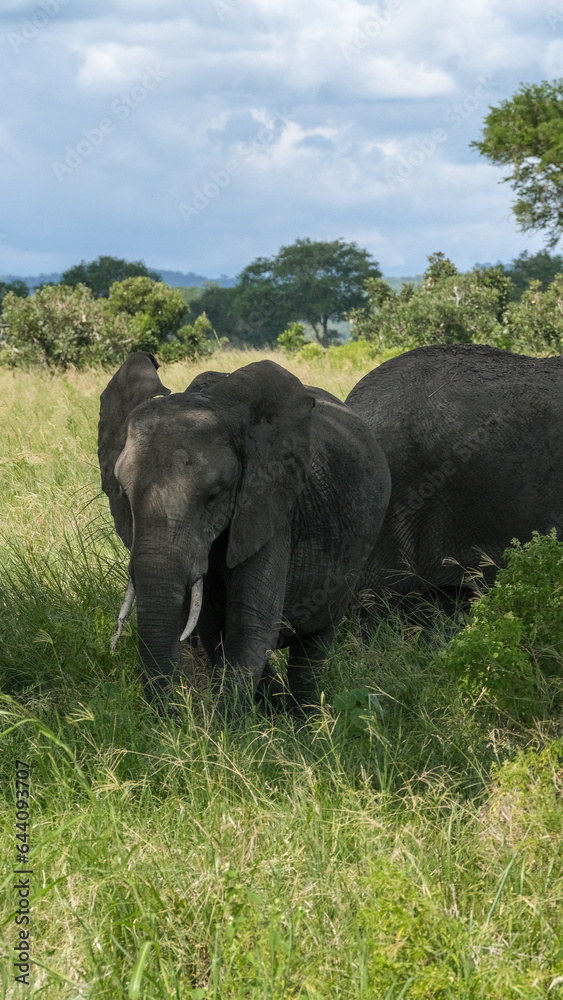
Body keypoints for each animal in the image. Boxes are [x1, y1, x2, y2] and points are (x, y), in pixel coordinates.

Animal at [98, 352, 391, 713]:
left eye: (214, 496)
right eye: (122, 492)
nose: (170, 716)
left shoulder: (271, 510)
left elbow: (249, 627)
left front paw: (227, 726)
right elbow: (214, 630)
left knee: (315, 645)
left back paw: (307, 718)